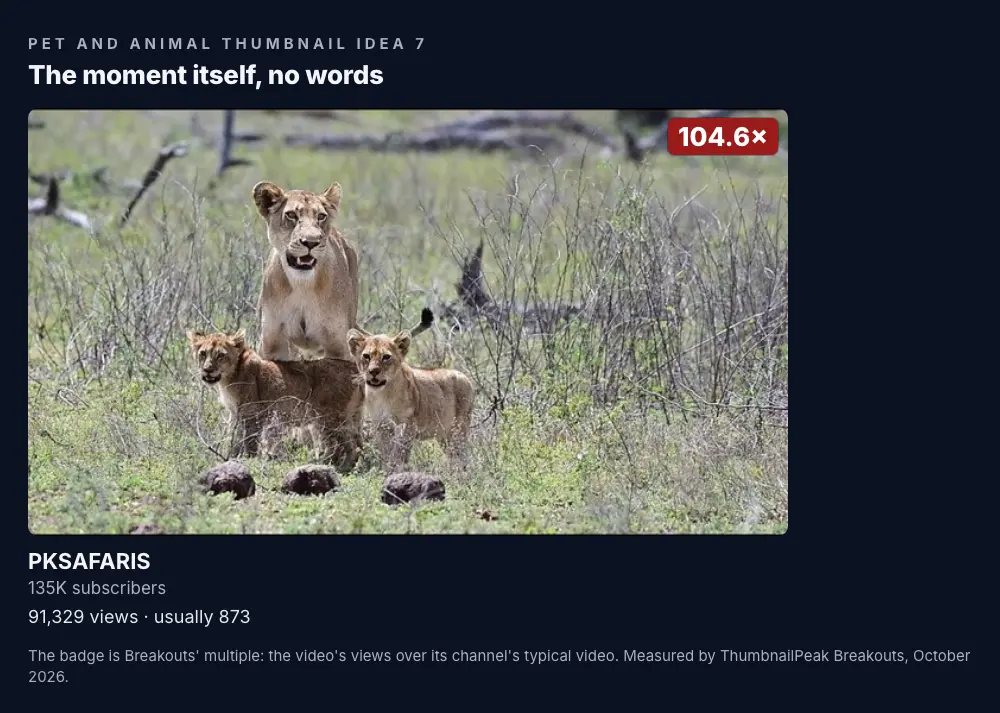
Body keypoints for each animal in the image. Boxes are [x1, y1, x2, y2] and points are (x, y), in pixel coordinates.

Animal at [187, 328, 364, 472]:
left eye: (221, 356)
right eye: (203, 353)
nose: (208, 370)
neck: (228, 378)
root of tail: (354, 368)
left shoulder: (251, 413)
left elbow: (248, 440)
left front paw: (247, 460)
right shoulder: (235, 413)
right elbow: (234, 438)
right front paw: (230, 457)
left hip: (329, 417)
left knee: (349, 443)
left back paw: (342, 467)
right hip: (342, 417)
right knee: (351, 442)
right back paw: (325, 462)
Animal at [347, 316, 474, 469]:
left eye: (386, 357)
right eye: (366, 356)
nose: (374, 371)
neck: (382, 394)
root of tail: (465, 376)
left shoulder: (408, 424)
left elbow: (400, 453)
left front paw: (398, 469)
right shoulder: (381, 425)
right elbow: (386, 453)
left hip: (459, 429)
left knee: (463, 456)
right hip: (444, 435)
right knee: (454, 456)